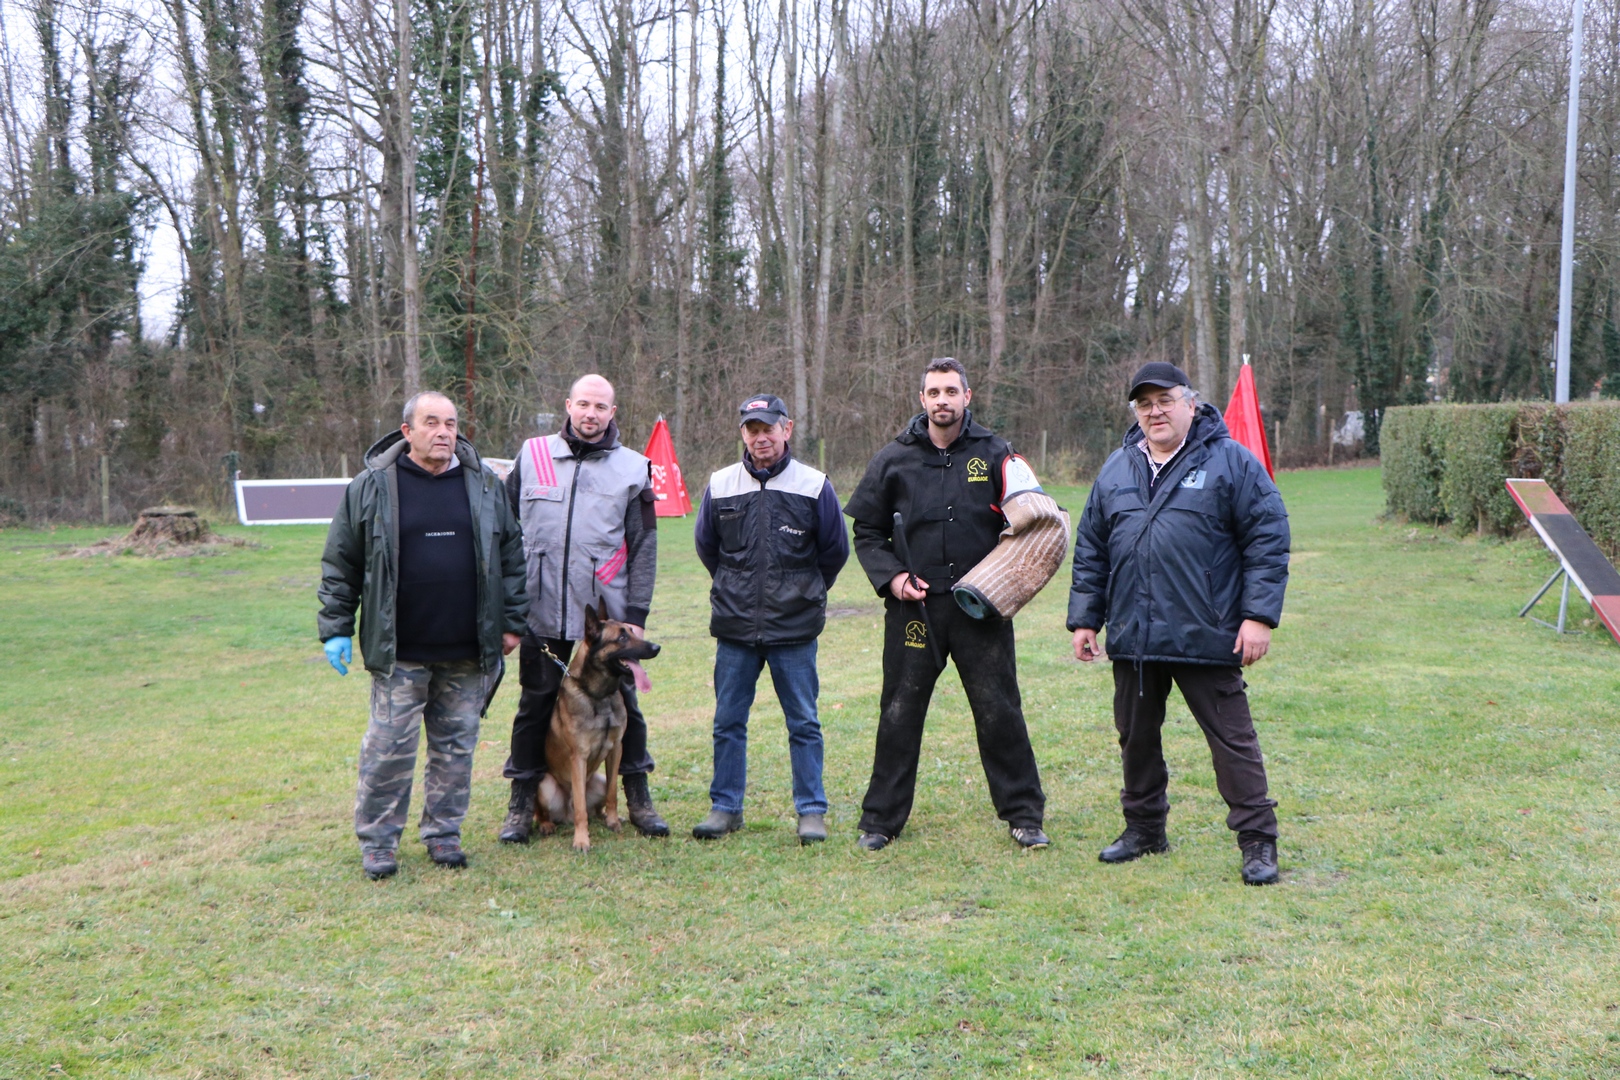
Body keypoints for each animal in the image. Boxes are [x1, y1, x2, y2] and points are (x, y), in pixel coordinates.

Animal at [536, 599, 661, 852]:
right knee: (547, 812)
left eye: (632, 631)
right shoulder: (579, 756)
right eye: (621, 637)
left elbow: (613, 792)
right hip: (544, 785)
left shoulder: (616, 749)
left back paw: (606, 816)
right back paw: (546, 824)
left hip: (599, 781)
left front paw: (613, 821)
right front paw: (581, 839)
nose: (656, 647)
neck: (599, 696)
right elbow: (581, 807)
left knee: (596, 806)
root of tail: (565, 814)